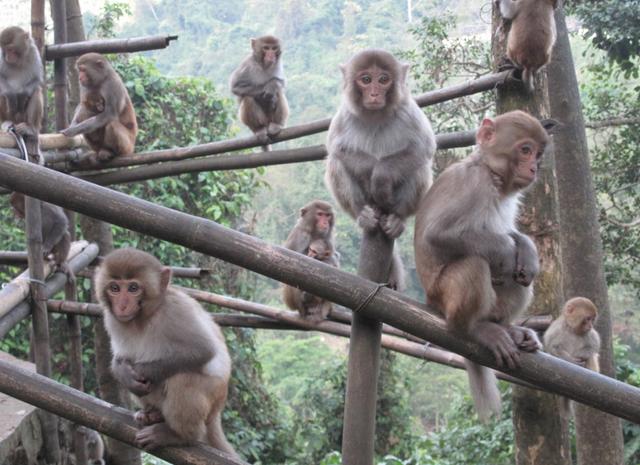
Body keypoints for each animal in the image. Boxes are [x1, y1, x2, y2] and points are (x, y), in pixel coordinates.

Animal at [0, 26, 43, 163]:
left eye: (11, 48)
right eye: (5, 49)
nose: (8, 56)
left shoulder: (33, 53)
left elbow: (36, 79)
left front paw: (23, 95)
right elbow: (1, 79)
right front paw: (12, 96)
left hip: (23, 117)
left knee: (36, 90)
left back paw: (31, 129)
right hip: (11, 115)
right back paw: (6, 120)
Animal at [97, 248, 240, 454]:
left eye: (133, 288)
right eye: (114, 288)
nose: (122, 305)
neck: (143, 317)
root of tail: (218, 409)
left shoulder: (176, 311)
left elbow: (202, 350)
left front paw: (141, 371)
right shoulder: (111, 320)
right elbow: (121, 358)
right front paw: (125, 374)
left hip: (213, 394)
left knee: (183, 379)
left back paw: (179, 435)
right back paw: (153, 414)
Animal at [324, 50, 436, 290]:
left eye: (383, 79)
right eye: (366, 80)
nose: (374, 93)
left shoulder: (409, 111)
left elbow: (423, 147)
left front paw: (380, 177)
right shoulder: (345, 115)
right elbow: (337, 149)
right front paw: (369, 171)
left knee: (421, 164)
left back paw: (398, 218)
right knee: (335, 162)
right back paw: (362, 213)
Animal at [412, 109, 552, 420]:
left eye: (539, 155)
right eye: (525, 150)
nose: (534, 168)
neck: (493, 176)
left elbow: (512, 236)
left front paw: (525, 247)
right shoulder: (470, 183)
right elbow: (439, 234)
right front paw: (507, 250)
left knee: (521, 277)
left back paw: (508, 326)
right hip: (442, 297)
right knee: (474, 265)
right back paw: (473, 328)